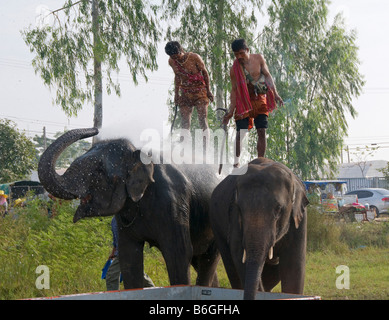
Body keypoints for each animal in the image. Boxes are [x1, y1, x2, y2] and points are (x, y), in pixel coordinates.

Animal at [38, 128, 220, 290]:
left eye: (99, 172)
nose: (95, 129)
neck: (138, 153)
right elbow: (129, 257)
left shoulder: (174, 202)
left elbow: (178, 252)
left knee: (207, 260)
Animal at [208, 158, 308, 300]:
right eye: (240, 209)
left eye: (278, 209)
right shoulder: (234, 217)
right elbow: (240, 257)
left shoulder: (300, 220)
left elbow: (294, 266)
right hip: (216, 224)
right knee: (231, 265)